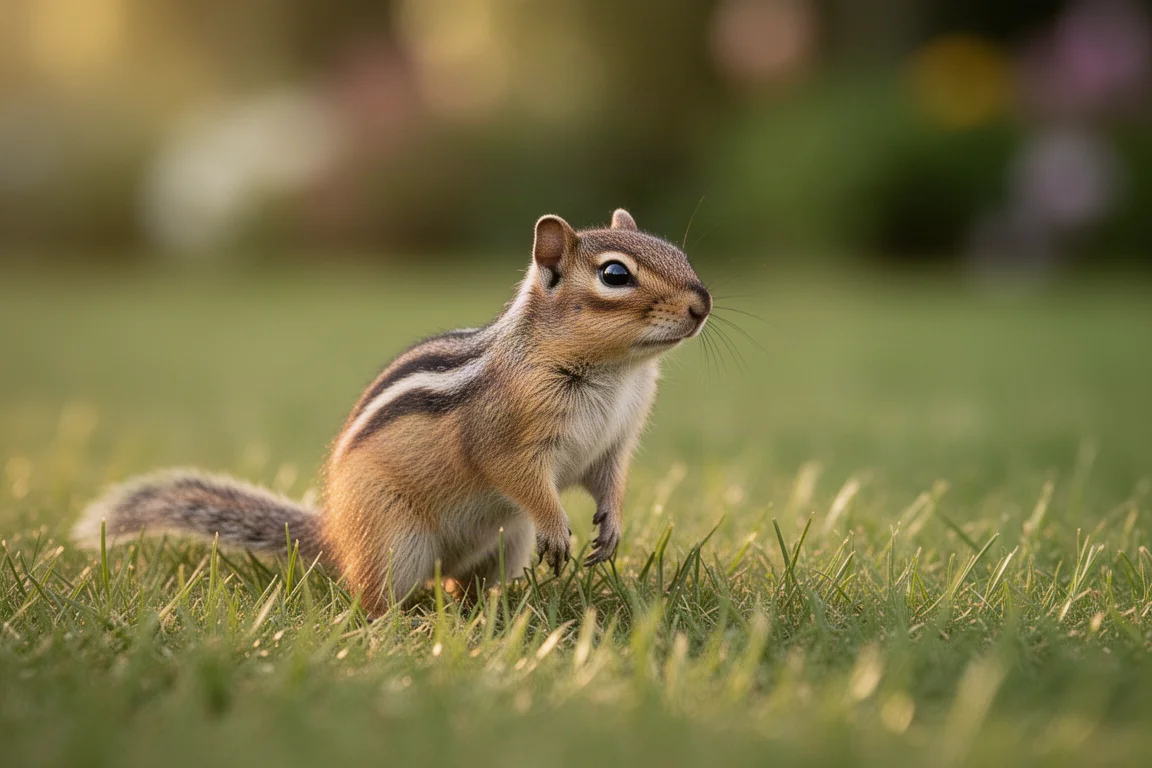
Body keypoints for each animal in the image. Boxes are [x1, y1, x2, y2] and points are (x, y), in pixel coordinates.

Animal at [74, 209, 712, 615]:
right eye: (614, 275)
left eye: (681, 255)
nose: (702, 303)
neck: (618, 374)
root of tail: (334, 533)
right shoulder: (506, 437)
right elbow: (521, 478)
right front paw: (560, 530)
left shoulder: (613, 443)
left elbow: (608, 481)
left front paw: (612, 527)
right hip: (394, 540)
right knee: (373, 600)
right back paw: (398, 628)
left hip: (506, 543)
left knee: (460, 586)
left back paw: (493, 616)